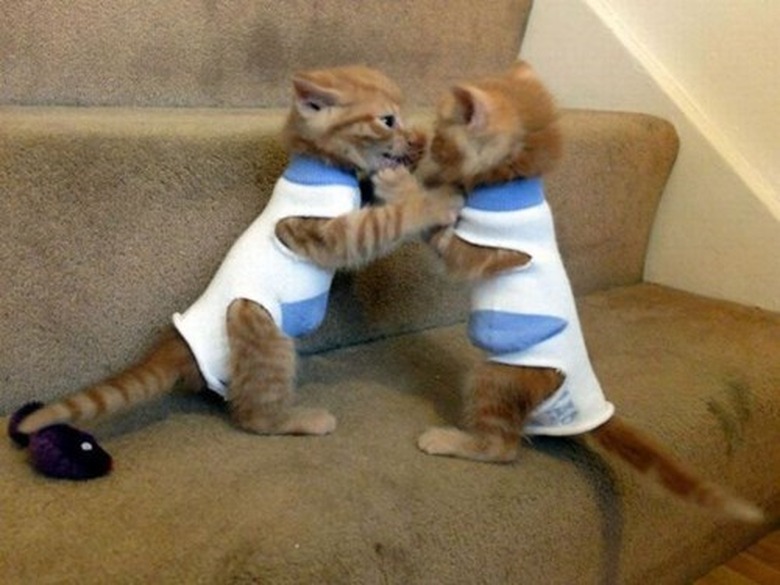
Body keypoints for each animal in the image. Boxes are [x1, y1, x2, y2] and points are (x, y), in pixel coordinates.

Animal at [16, 65, 458, 442]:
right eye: (387, 120)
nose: (412, 136)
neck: (321, 166)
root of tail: (175, 345)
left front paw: (420, 151)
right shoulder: (314, 232)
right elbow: (382, 225)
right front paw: (432, 204)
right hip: (258, 325)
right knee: (253, 416)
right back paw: (300, 419)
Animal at [374, 61, 764, 524]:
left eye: (443, 134)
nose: (426, 140)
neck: (511, 186)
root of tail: (591, 410)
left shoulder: (473, 252)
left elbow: (440, 227)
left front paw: (401, 182)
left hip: (497, 374)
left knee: (503, 448)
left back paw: (449, 440)